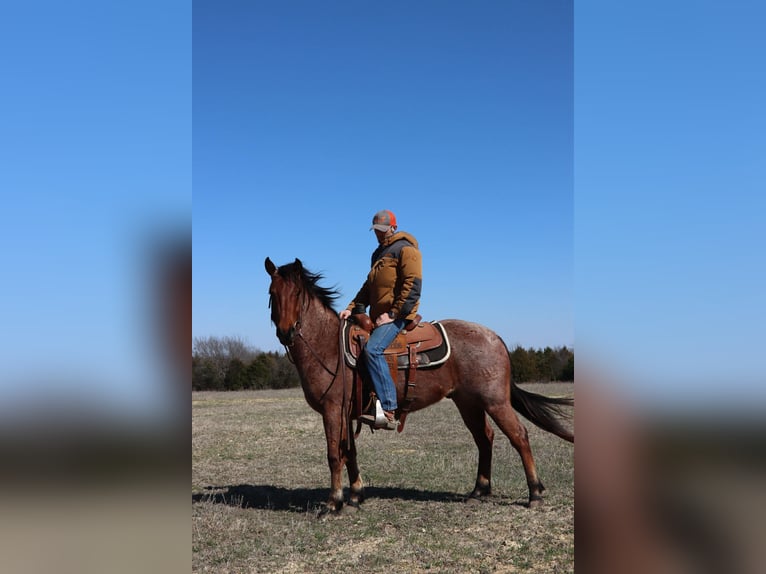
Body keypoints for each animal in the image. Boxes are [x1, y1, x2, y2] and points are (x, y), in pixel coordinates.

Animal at [264, 257, 573, 513]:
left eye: (297, 293)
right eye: (272, 294)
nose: (286, 332)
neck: (328, 346)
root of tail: (495, 337)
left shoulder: (332, 410)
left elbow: (333, 454)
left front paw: (333, 503)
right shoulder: (346, 413)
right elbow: (349, 452)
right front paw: (355, 496)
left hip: (495, 402)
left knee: (519, 436)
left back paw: (534, 493)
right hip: (468, 403)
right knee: (484, 438)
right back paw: (478, 491)